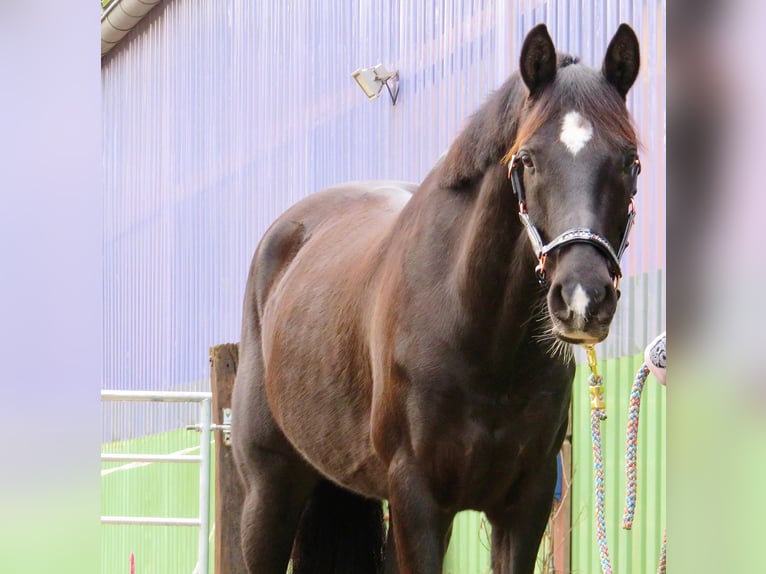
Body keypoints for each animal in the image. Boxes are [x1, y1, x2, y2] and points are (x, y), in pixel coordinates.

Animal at [232, 22, 640, 574]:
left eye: (630, 162)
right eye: (527, 160)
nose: (582, 298)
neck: (479, 334)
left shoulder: (526, 501)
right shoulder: (418, 498)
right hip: (270, 489)